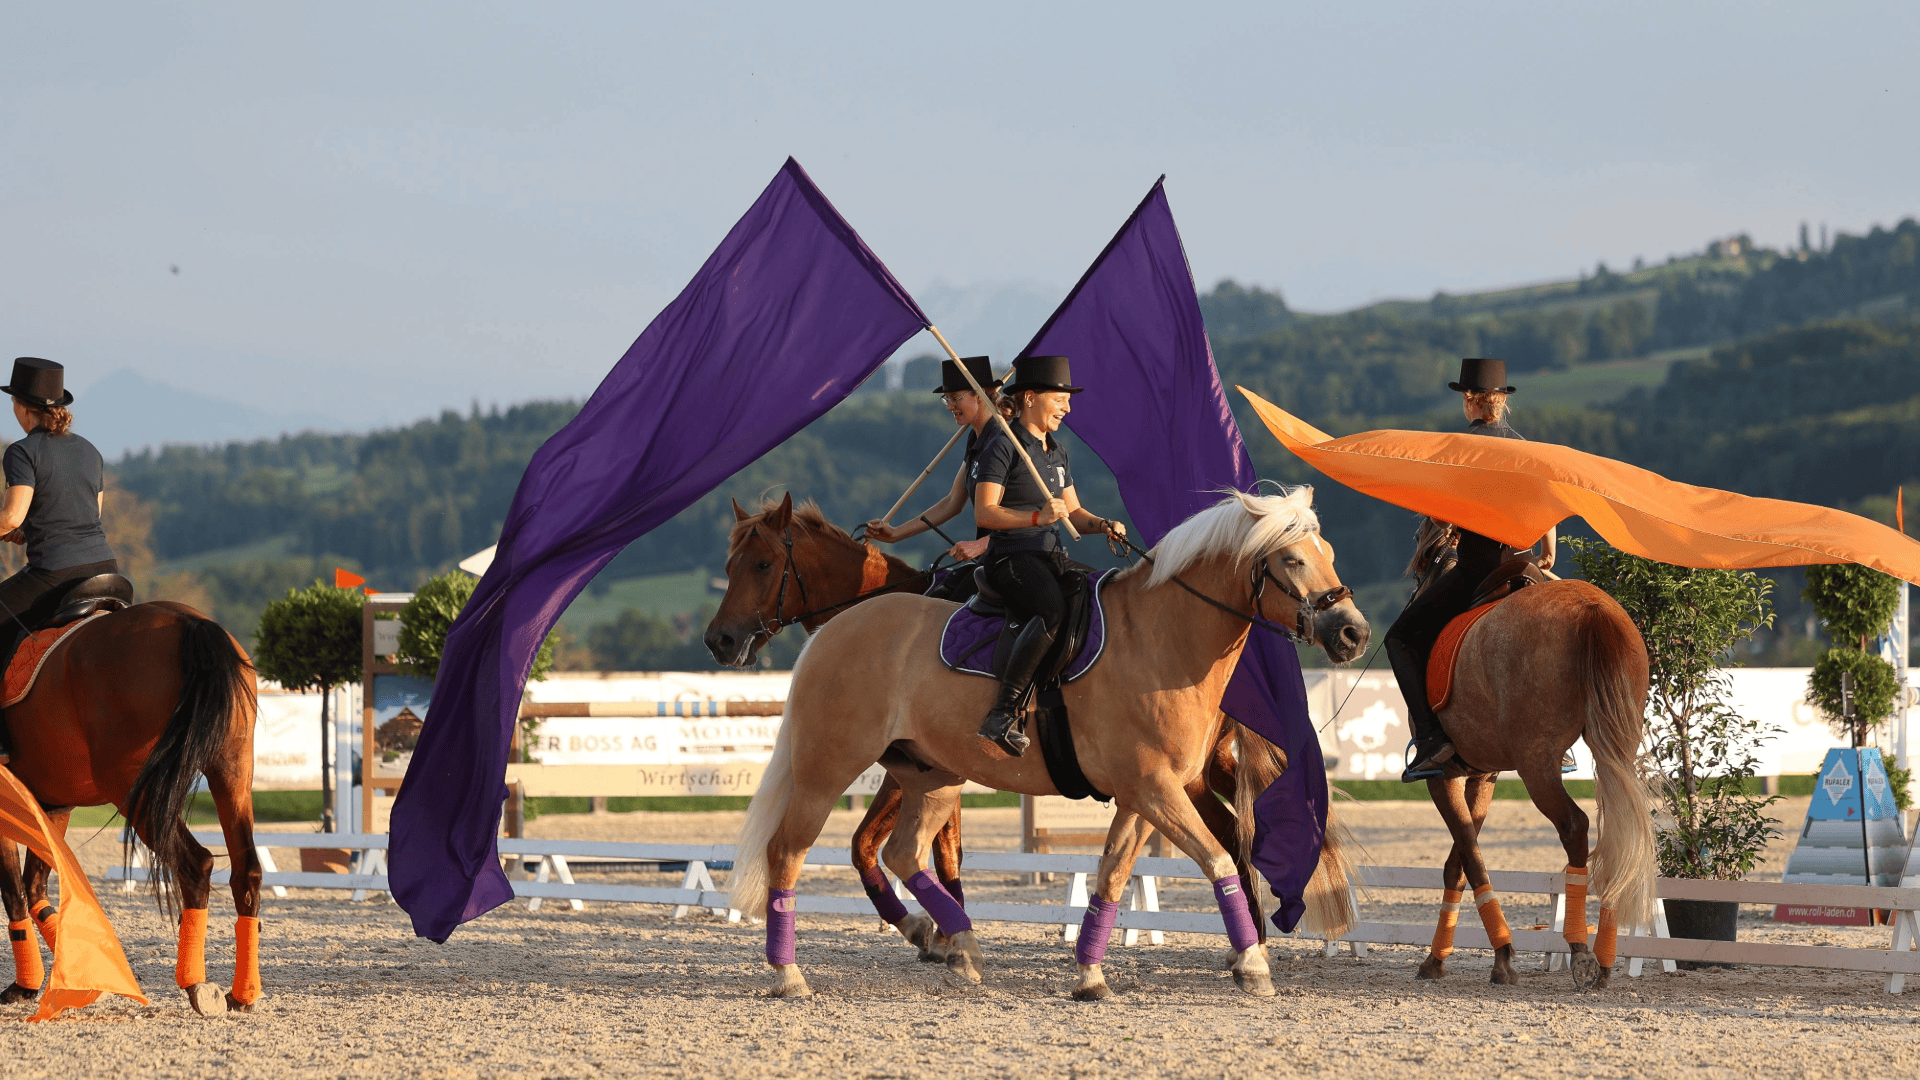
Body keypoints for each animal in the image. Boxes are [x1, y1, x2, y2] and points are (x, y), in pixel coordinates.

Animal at [0, 601, 262, 1015]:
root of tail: (188, 620)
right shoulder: (55, 806)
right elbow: (35, 887)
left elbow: (14, 892)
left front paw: (27, 987)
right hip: (232, 773)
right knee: (246, 872)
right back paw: (243, 995)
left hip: (133, 790)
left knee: (195, 864)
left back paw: (196, 984)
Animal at [726, 488, 1368, 1000]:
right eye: (1292, 559)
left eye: (1330, 556)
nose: (1353, 633)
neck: (1162, 638)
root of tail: (837, 629)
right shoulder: (1154, 789)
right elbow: (1214, 860)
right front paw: (1253, 964)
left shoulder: (1144, 795)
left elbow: (1113, 876)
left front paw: (1089, 975)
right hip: (827, 770)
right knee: (787, 853)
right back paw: (789, 975)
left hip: (932, 775)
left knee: (903, 852)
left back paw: (957, 942)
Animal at [1404, 539, 1655, 990]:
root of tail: (1591, 608)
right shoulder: (1483, 774)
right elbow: (1459, 862)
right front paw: (1444, 957)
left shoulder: (1443, 776)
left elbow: (1467, 860)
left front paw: (1496, 956)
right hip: (1617, 743)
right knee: (1621, 828)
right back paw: (1605, 958)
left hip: (1536, 762)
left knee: (1574, 826)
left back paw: (1580, 950)